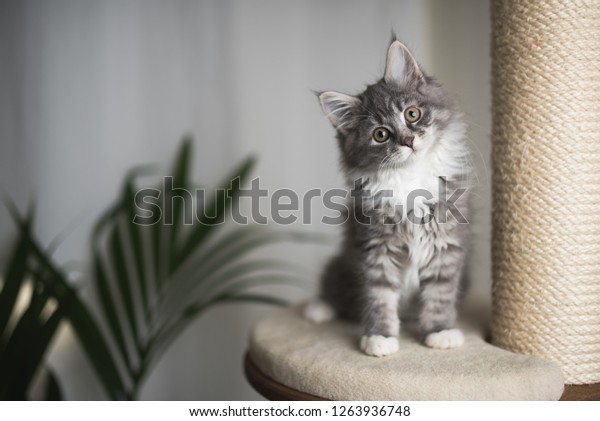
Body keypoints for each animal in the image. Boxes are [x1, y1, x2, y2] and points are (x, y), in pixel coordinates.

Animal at [304, 38, 474, 354]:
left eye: (412, 114)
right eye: (380, 135)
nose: (408, 141)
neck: (409, 177)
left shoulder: (446, 242)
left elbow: (440, 293)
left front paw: (440, 331)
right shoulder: (375, 246)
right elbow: (379, 296)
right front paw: (380, 337)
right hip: (341, 264)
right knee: (335, 290)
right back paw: (318, 308)